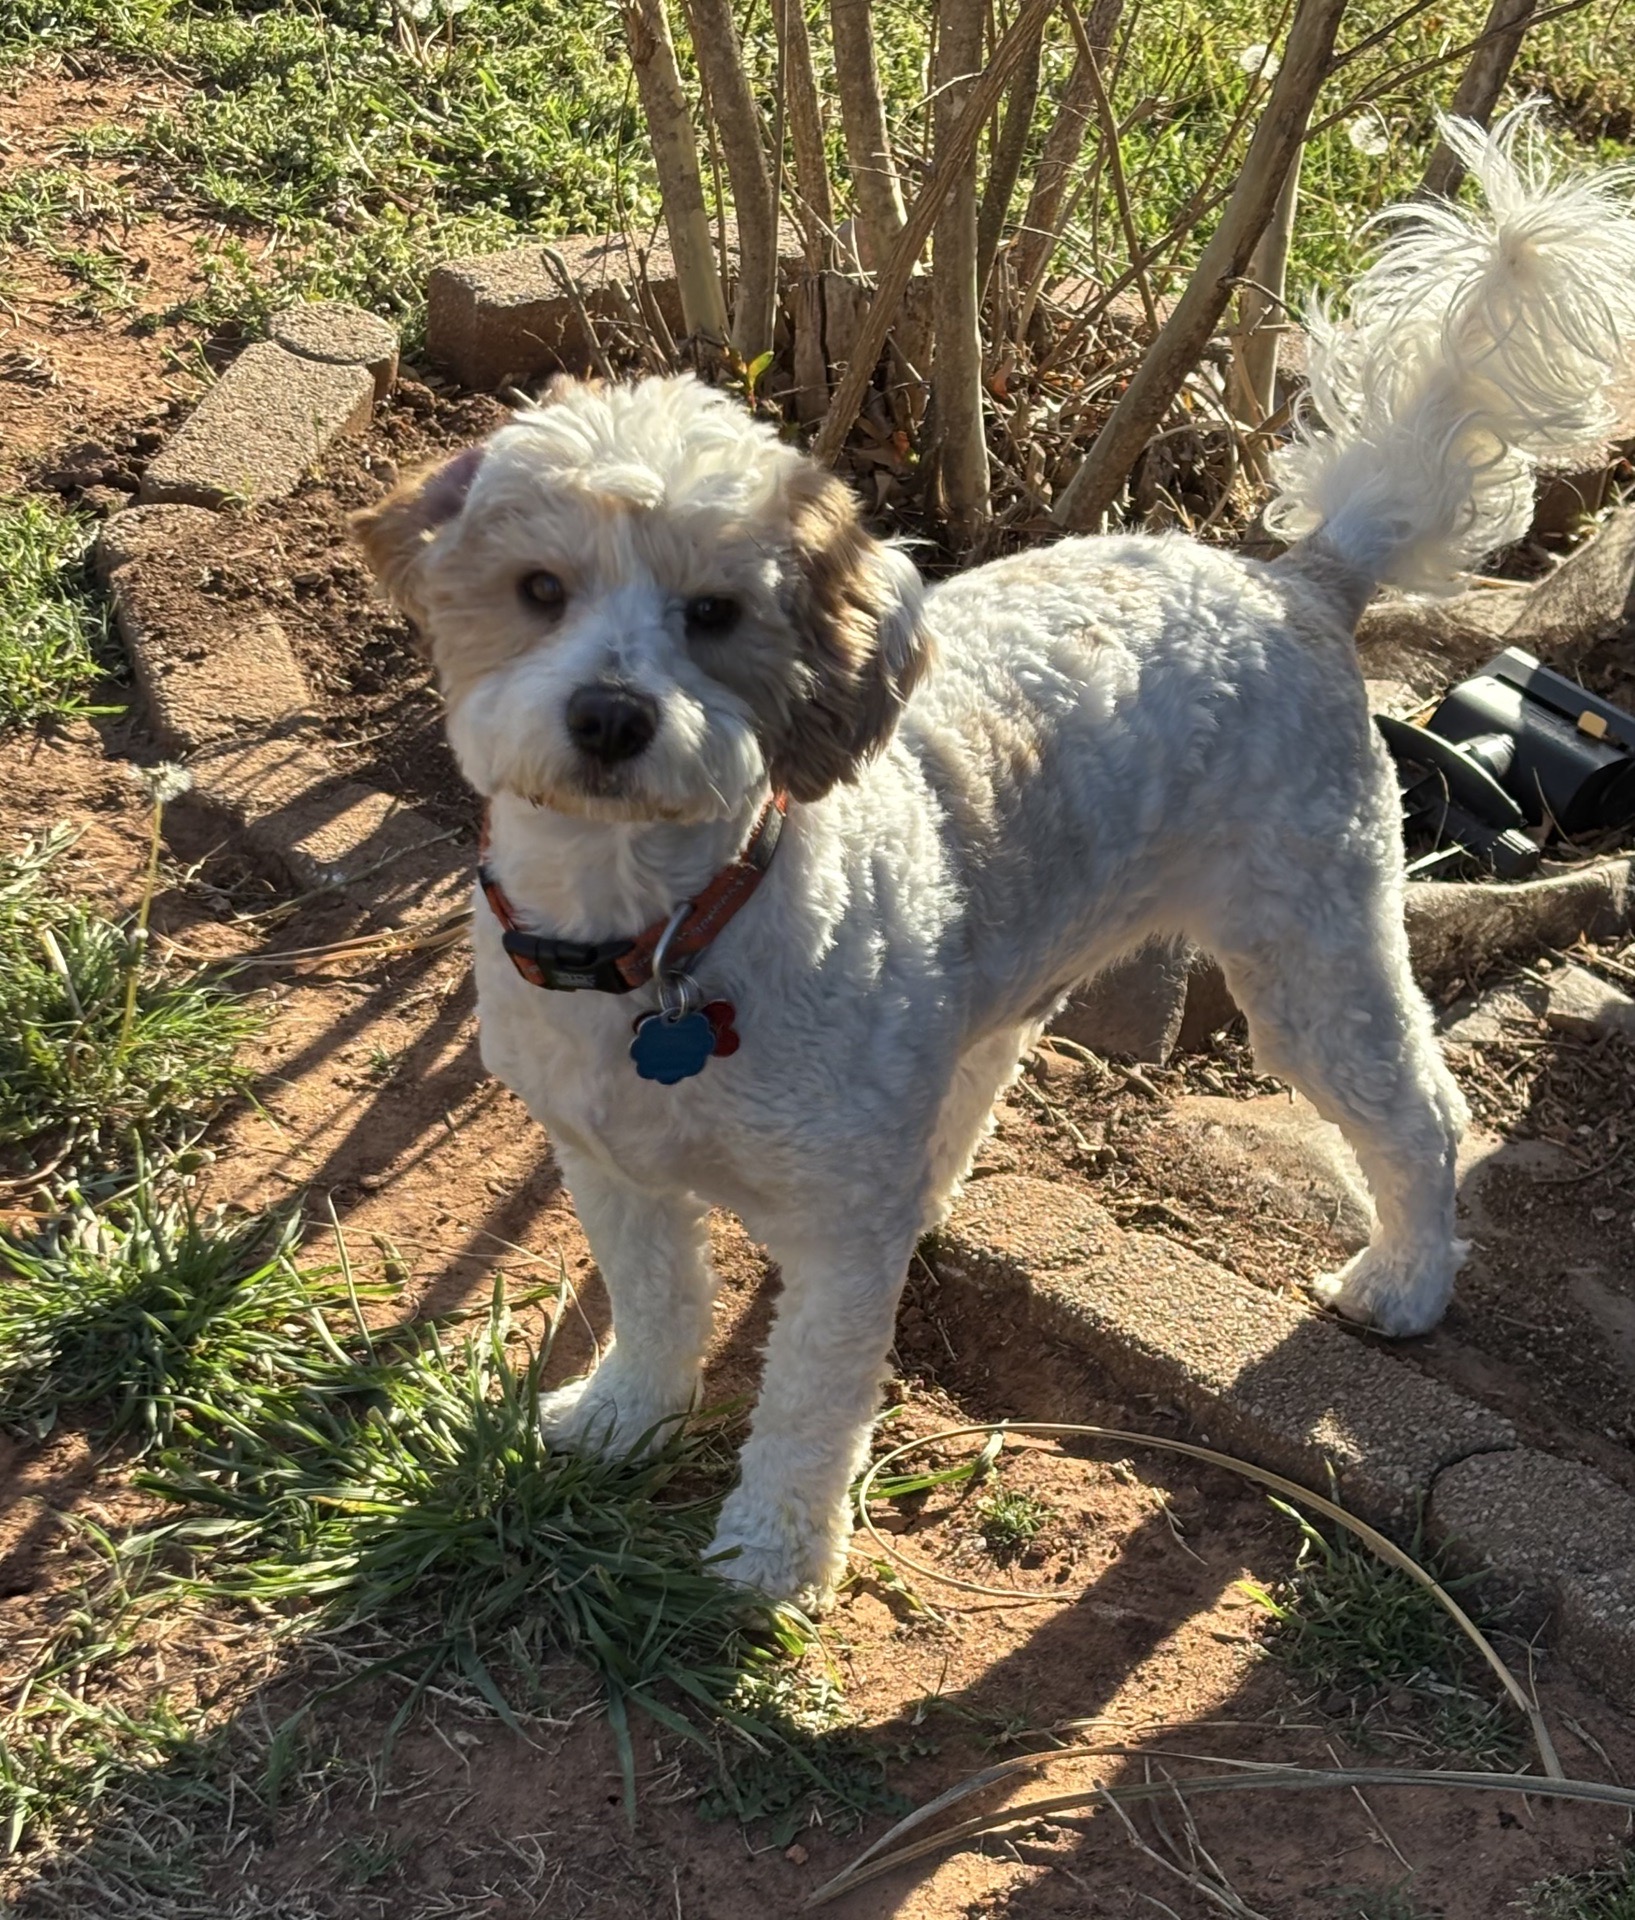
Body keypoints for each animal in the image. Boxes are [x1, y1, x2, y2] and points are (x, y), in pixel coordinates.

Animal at [355, 111, 1635, 1607]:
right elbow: (660, 1302)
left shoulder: (836, 1237)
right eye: (539, 590)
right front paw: (624, 1418)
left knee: (1418, 1113)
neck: (667, 938)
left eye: (714, 613)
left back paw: (1408, 1281)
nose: (613, 715)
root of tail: (1295, 579)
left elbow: (809, 1403)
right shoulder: (605, 1162)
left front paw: (769, 1560)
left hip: (1311, 947)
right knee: (993, 1058)